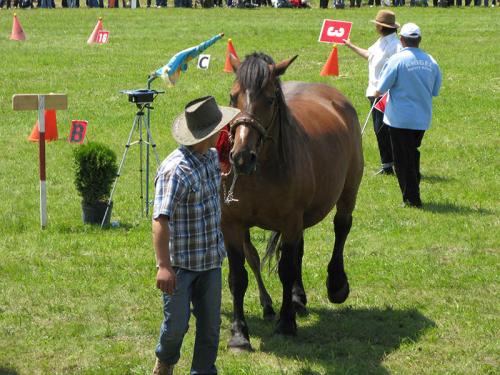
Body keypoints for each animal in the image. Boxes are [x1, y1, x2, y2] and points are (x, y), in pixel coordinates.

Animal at [220, 53, 364, 352]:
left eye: (269, 99)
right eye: (232, 96)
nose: (241, 156)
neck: (262, 172)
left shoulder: (289, 221)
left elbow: (286, 270)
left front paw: (286, 324)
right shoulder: (232, 224)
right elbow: (238, 277)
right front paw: (239, 334)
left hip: (348, 191)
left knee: (341, 227)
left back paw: (336, 284)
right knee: (299, 249)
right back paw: (297, 297)